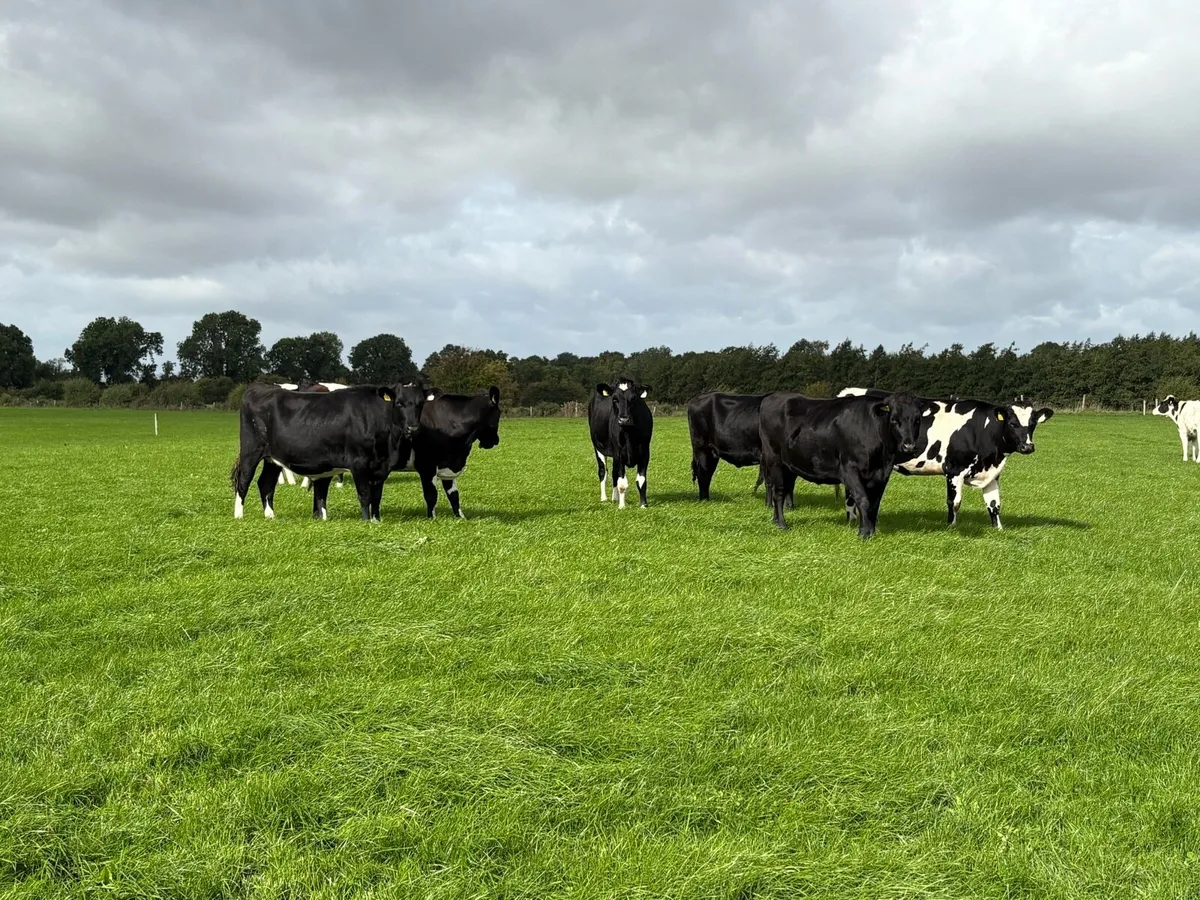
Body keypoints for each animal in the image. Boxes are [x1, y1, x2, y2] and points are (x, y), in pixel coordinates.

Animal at [231, 381, 433, 521]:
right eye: (399, 403)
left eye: (420, 404)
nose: (413, 428)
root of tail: (260, 387)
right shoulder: (358, 463)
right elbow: (365, 495)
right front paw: (366, 521)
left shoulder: (381, 467)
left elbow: (376, 496)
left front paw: (376, 520)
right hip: (251, 450)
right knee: (244, 481)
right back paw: (239, 515)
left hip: (273, 458)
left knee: (265, 484)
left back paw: (270, 516)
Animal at [391, 386, 502, 519]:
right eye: (499, 415)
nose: (496, 440)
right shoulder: (427, 465)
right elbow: (431, 495)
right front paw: (432, 519)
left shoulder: (448, 465)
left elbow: (454, 495)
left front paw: (461, 518)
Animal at [590, 378, 653, 509]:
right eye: (614, 399)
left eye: (633, 399)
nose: (624, 419)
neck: (629, 434)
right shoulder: (619, 453)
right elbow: (622, 483)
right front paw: (622, 506)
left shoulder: (645, 452)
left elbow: (641, 480)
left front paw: (643, 505)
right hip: (598, 447)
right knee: (603, 471)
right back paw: (604, 498)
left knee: (614, 473)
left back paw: (615, 498)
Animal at [759, 391, 931, 538]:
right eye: (894, 419)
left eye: (917, 420)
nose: (909, 447)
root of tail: (771, 397)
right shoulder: (849, 470)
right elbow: (862, 499)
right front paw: (864, 534)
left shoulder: (882, 473)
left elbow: (874, 504)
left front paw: (870, 531)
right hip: (774, 460)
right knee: (779, 492)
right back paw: (782, 524)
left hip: (789, 466)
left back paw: (775, 520)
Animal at [838, 387, 1054, 528]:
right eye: (1011, 423)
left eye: (1033, 423)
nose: (1027, 446)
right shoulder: (955, 470)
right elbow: (954, 502)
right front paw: (951, 527)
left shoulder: (992, 472)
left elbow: (994, 504)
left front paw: (998, 529)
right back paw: (852, 520)